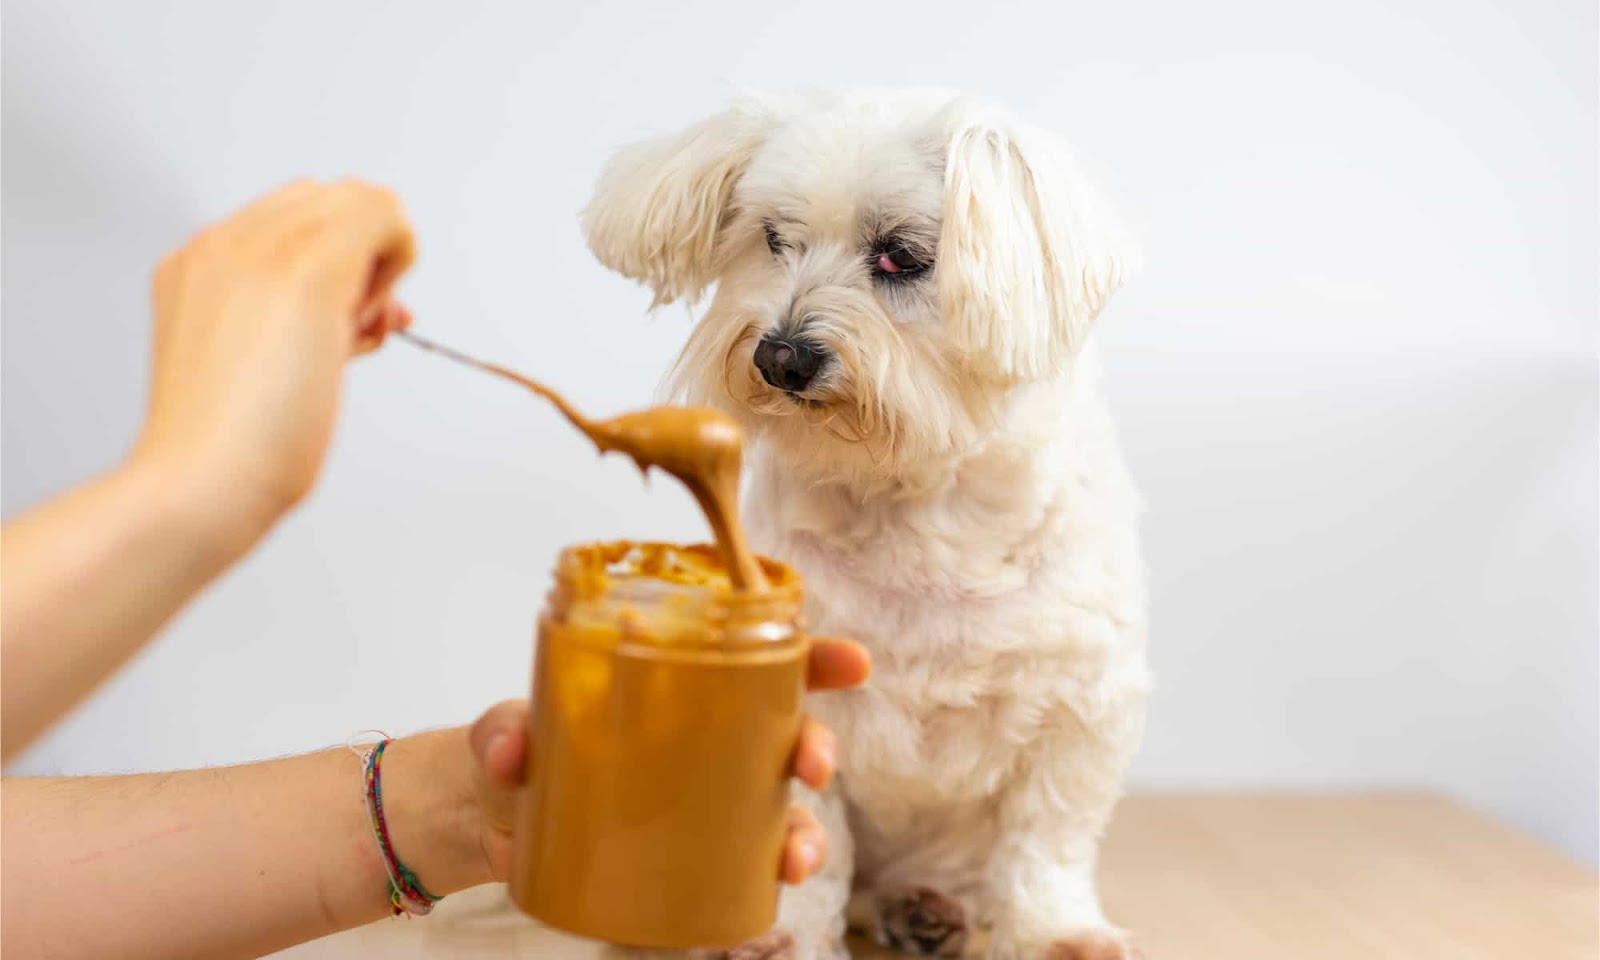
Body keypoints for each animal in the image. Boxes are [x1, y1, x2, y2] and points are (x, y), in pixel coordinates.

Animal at [588, 90, 1152, 960]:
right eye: (774, 238)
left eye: (899, 256)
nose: (780, 358)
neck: (909, 501)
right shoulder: (797, 706)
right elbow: (809, 848)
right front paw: (782, 938)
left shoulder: (1079, 706)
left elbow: (1045, 843)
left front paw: (1055, 934)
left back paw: (930, 910)